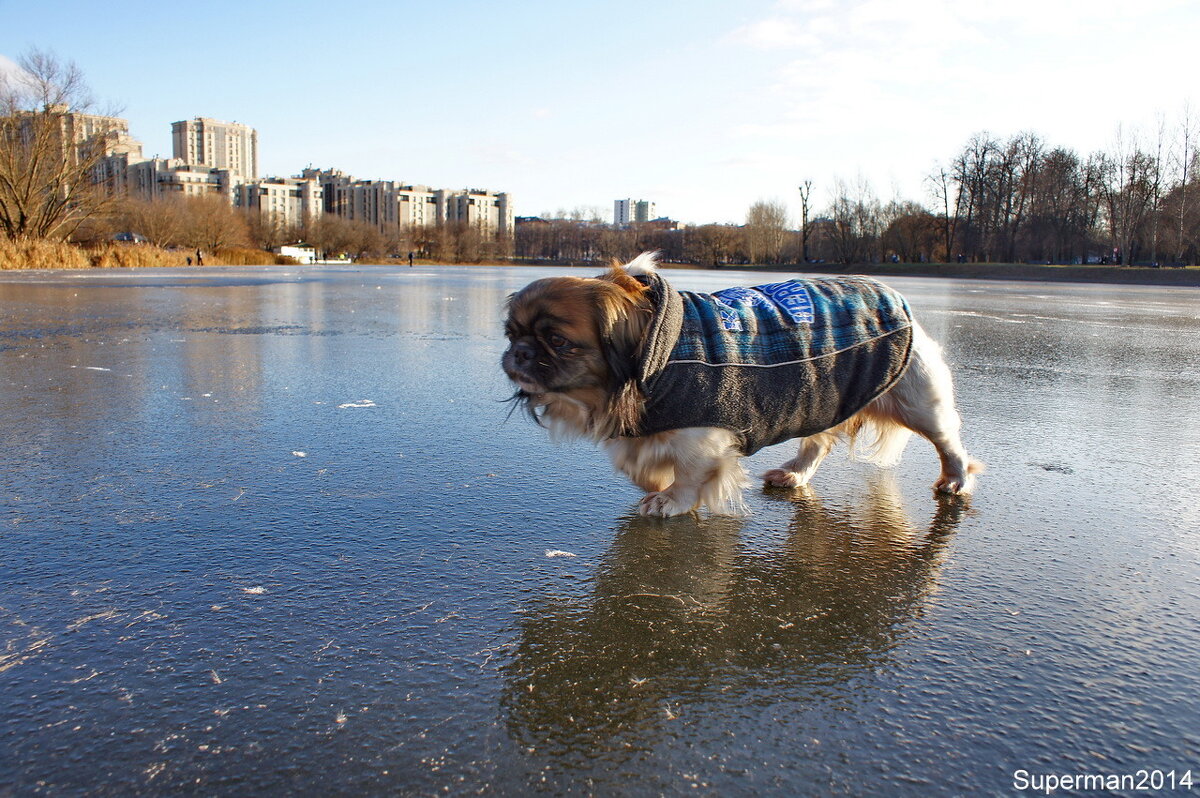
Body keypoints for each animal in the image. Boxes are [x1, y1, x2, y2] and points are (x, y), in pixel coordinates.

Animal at [501, 252, 979, 520]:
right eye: (511, 333)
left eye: (557, 341)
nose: (519, 352)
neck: (658, 361)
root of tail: (896, 298)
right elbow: (639, 466)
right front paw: (654, 482)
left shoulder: (705, 437)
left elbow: (690, 474)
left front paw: (670, 501)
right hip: (819, 397)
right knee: (816, 445)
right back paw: (794, 474)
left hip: (918, 401)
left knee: (949, 441)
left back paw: (954, 481)